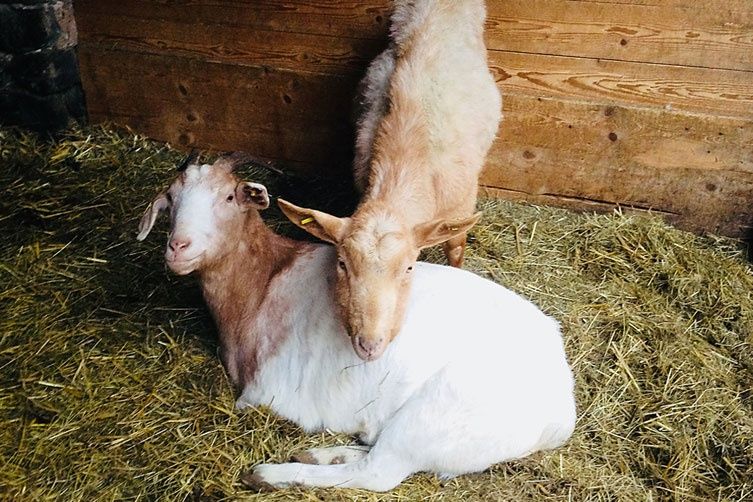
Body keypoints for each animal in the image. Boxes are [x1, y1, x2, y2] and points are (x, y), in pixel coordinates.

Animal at [137, 159, 576, 492]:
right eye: (171, 200)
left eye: (229, 197)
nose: (178, 247)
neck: (264, 281)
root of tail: (562, 407)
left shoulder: (264, 393)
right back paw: (322, 453)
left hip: (434, 416)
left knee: (377, 473)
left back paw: (273, 473)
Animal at [276, 0, 500, 360]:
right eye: (342, 263)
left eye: (409, 268)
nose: (369, 345)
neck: (406, 156)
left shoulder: (462, 205)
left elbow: (455, 249)